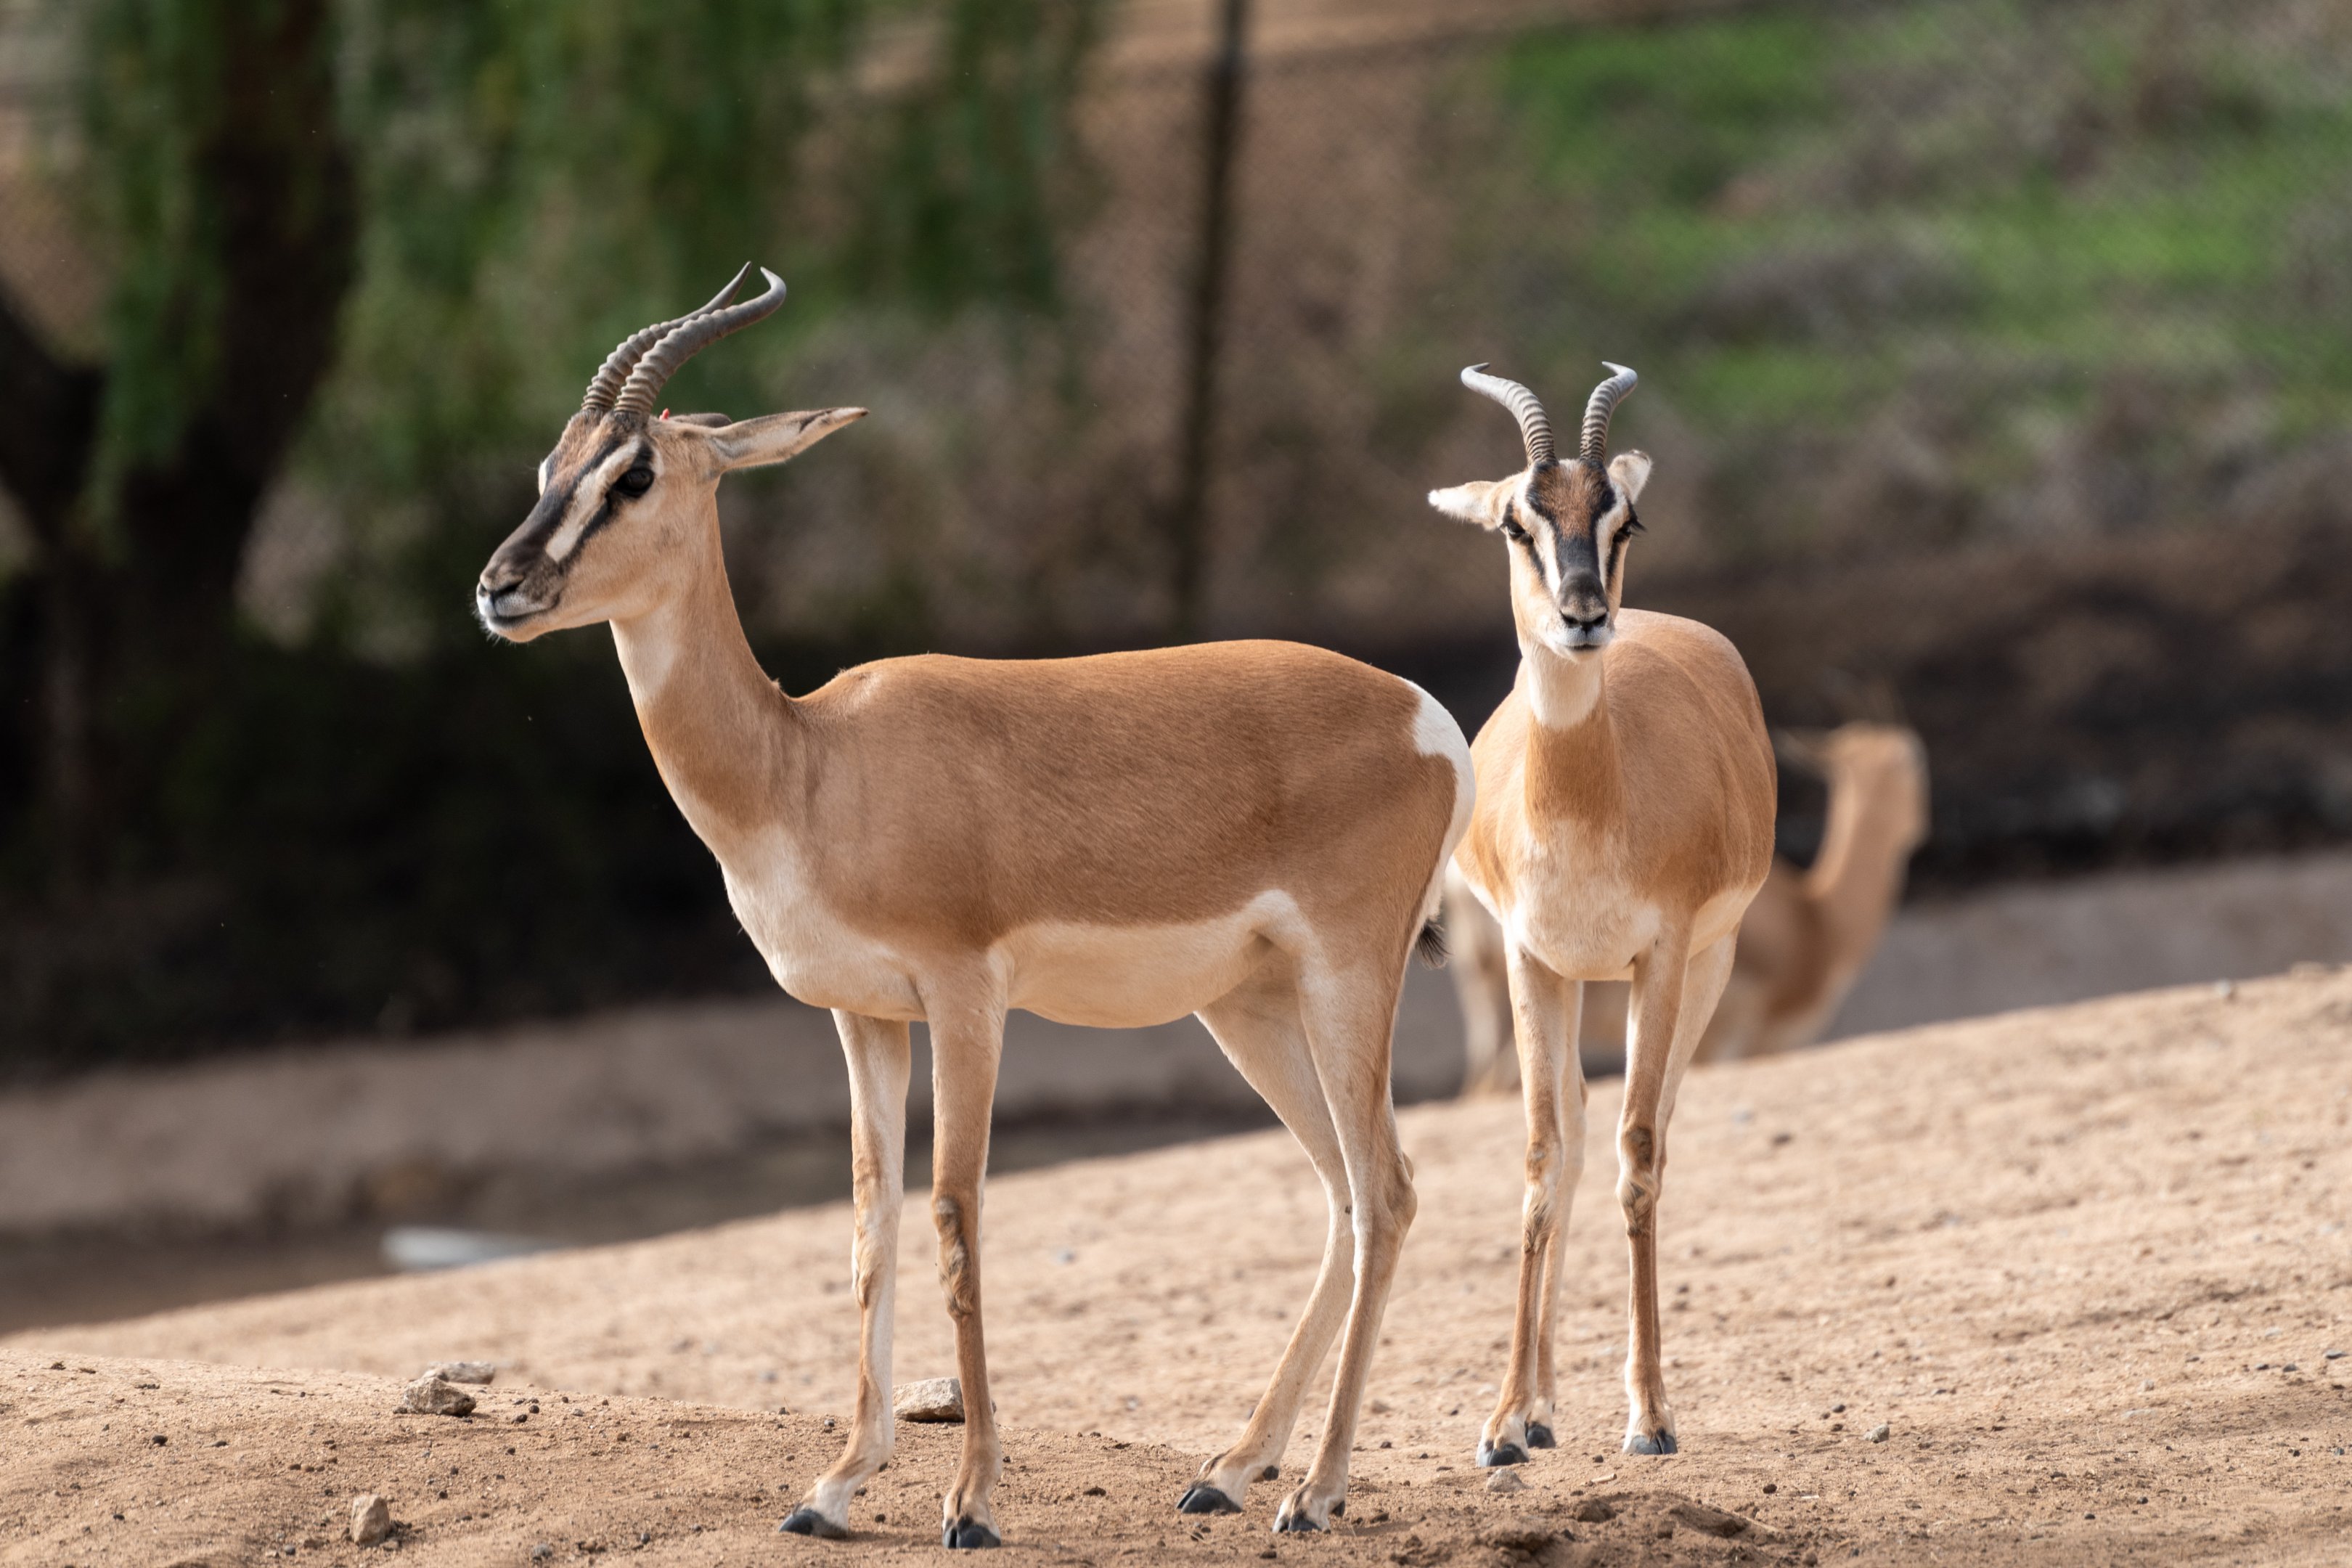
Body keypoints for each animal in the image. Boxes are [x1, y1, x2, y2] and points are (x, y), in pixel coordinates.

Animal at [474, 267, 1473, 1545]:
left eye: (633, 473)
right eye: (551, 463)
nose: (501, 589)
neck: (809, 767)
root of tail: (1427, 716)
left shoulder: (965, 997)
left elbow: (956, 1213)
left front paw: (973, 1500)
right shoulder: (862, 1016)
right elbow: (872, 1221)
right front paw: (833, 1488)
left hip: (1351, 979)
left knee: (1388, 1193)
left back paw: (1317, 1491)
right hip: (1246, 1006)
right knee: (1343, 1196)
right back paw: (1229, 1470)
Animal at [1427, 363, 1775, 1462]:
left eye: (1626, 519)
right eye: (1516, 522)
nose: (1584, 614)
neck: (1586, 798)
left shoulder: (1659, 959)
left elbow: (1639, 1154)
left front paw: (1651, 1417)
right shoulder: (1531, 958)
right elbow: (1544, 1158)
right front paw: (1502, 1422)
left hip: (1702, 970)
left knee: (1642, 1132)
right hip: (1574, 983)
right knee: (1573, 1137)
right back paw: (1539, 1411)